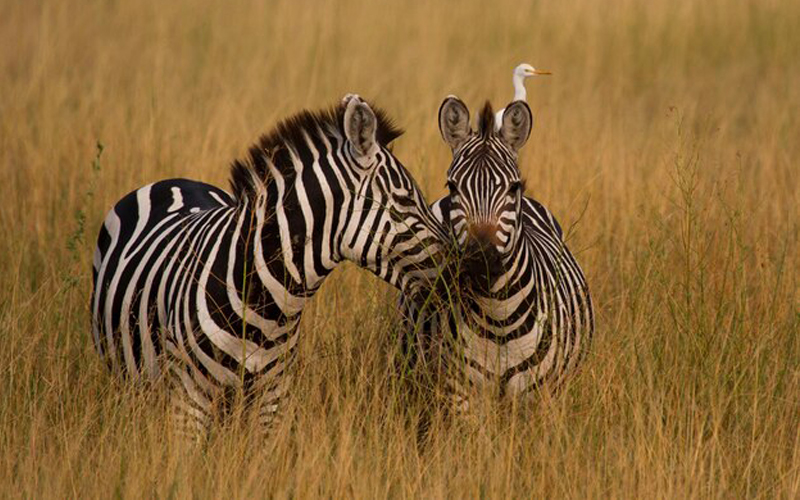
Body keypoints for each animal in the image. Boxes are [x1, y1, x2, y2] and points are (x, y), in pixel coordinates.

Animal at [91, 94, 454, 435]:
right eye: (405, 200)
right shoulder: (189, 399)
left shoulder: (272, 399)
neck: (266, 306)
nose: (457, 270)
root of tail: (174, 181)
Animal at [400, 96, 594, 410]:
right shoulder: (460, 396)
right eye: (452, 186)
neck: (499, 319)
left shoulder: (540, 398)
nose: (481, 261)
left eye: (514, 187)